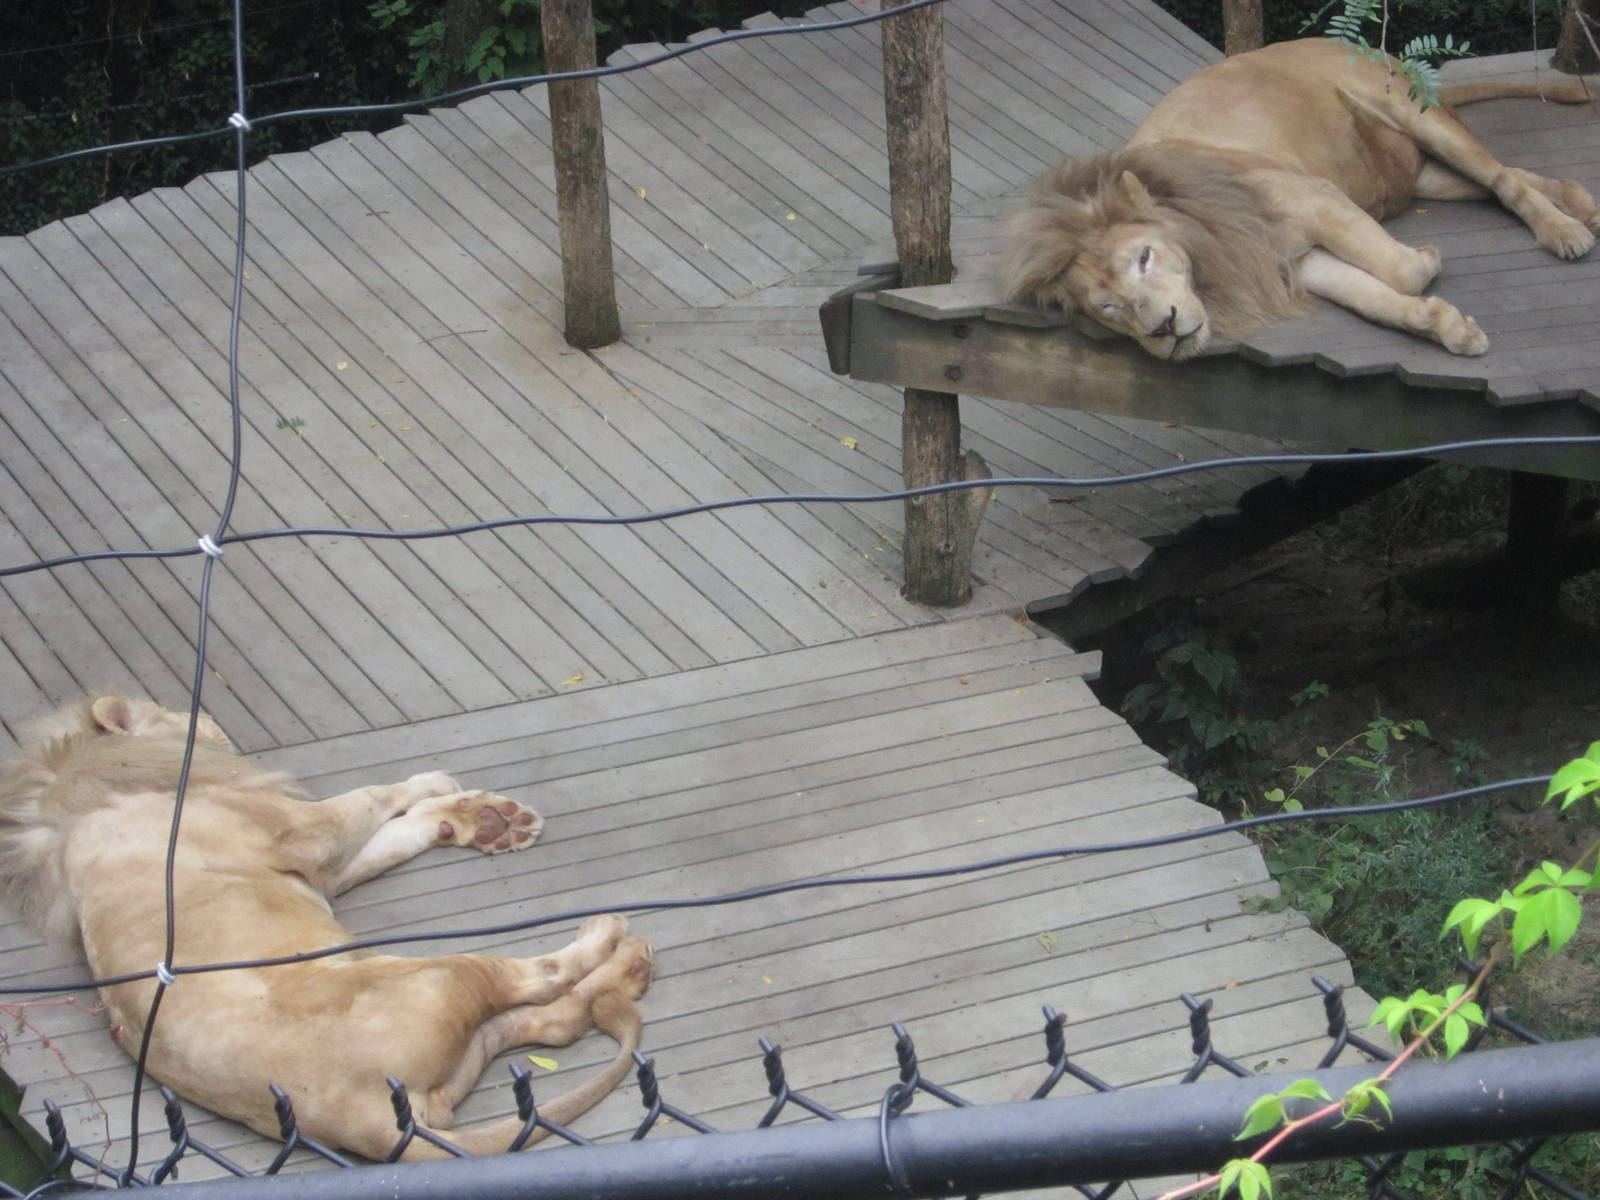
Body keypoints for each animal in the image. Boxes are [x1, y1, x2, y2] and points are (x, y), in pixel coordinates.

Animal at [0, 696, 654, 1160]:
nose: (211, 718)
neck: (81, 785)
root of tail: (361, 1122)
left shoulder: (321, 868)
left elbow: (396, 832)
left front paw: (476, 820)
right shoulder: (305, 833)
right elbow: (371, 795)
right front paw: (440, 791)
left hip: (455, 1053)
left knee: (551, 1024)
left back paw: (627, 971)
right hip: (431, 975)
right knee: (541, 978)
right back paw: (609, 939)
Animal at [1003, 38, 1600, 360]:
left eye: (1145, 258)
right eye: (1109, 308)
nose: (1164, 329)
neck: (1211, 243)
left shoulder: (1319, 199)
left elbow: (1402, 272)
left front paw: (1427, 259)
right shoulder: (1303, 262)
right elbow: (1379, 301)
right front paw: (1451, 328)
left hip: (1417, 118)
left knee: (1504, 179)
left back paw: (1566, 232)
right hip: (1429, 176)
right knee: (1505, 180)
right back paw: (1581, 205)